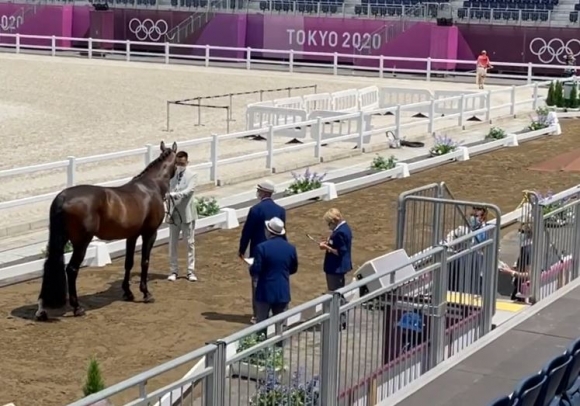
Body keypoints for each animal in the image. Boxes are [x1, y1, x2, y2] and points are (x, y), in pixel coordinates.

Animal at [36, 141, 178, 322]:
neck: (150, 186)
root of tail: (63, 197)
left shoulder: (131, 236)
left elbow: (128, 262)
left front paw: (128, 293)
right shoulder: (150, 233)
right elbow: (144, 262)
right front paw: (146, 294)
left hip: (60, 240)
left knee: (50, 266)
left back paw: (42, 310)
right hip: (81, 243)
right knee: (72, 270)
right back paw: (77, 308)